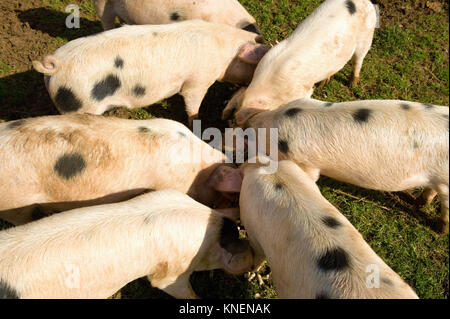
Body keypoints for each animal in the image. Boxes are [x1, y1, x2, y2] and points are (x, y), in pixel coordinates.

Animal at [32, 20, 270, 124]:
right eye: (255, 65)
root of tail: (57, 64)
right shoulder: (197, 82)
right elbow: (192, 104)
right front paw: (195, 121)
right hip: (79, 105)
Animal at [237, 99, 448, 234]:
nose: (247, 123)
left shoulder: (307, 163)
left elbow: (310, 177)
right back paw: (419, 203)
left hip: (445, 180)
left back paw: (440, 230)